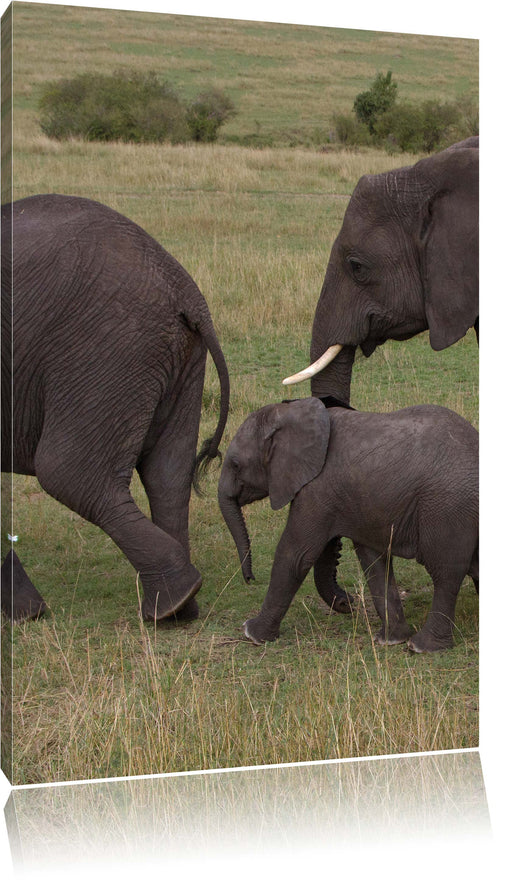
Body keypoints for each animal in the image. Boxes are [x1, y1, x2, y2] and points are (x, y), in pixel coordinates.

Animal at [1, 195, 230, 620]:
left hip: (107, 348)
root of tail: (186, 293)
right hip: (174, 359)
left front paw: (26, 614)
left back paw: (171, 602)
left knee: (69, 474)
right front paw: (27, 612)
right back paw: (179, 609)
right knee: (167, 476)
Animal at [218, 398, 478, 652]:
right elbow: (373, 562)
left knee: (445, 574)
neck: (291, 410)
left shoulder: (317, 489)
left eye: (235, 464)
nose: (250, 579)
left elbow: (295, 555)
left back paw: (422, 647)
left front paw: (252, 633)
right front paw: (390, 640)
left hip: (448, 508)